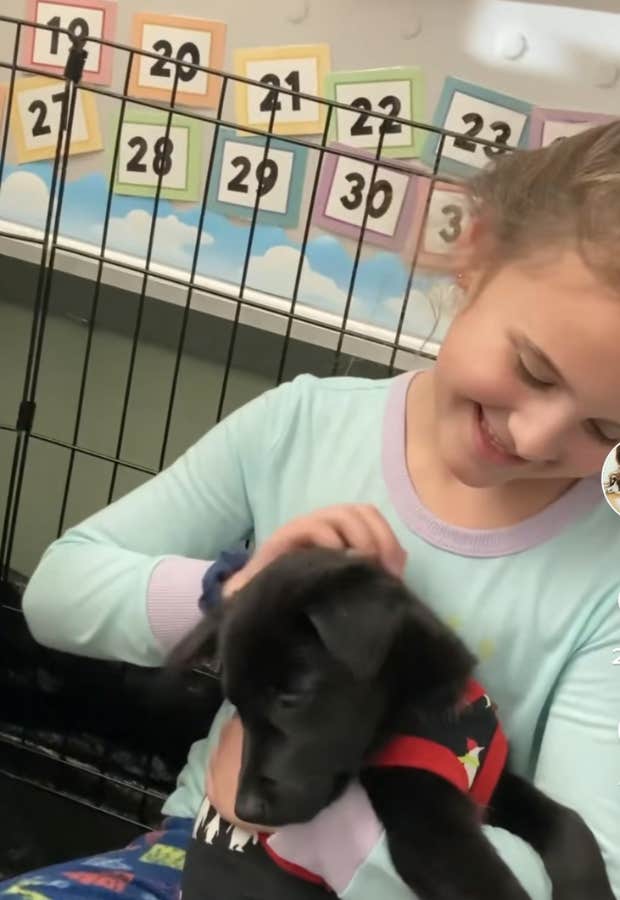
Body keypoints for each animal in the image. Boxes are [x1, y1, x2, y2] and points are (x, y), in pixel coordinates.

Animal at [168, 548, 612, 900]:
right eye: (238, 707)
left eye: (292, 695)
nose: (244, 809)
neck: (424, 704)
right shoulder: (426, 830)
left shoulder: (494, 782)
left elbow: (572, 825)